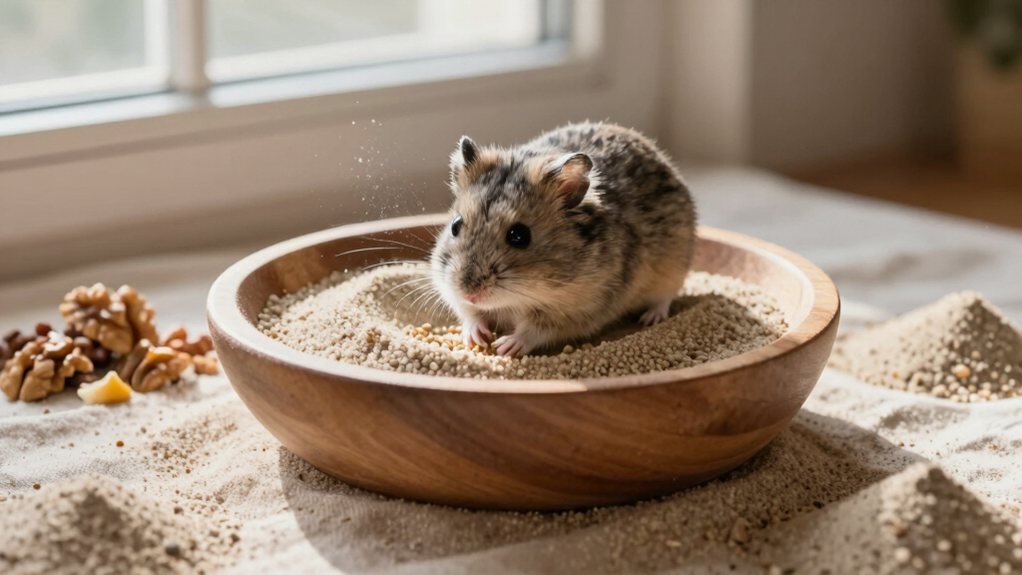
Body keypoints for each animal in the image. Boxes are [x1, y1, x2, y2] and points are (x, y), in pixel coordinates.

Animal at [430, 122, 696, 357]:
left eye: (519, 236)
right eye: (455, 226)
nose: (469, 293)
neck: (517, 300)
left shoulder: (576, 312)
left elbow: (534, 330)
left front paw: (506, 346)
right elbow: (471, 315)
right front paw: (476, 336)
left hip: (674, 265)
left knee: (664, 298)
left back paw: (650, 318)